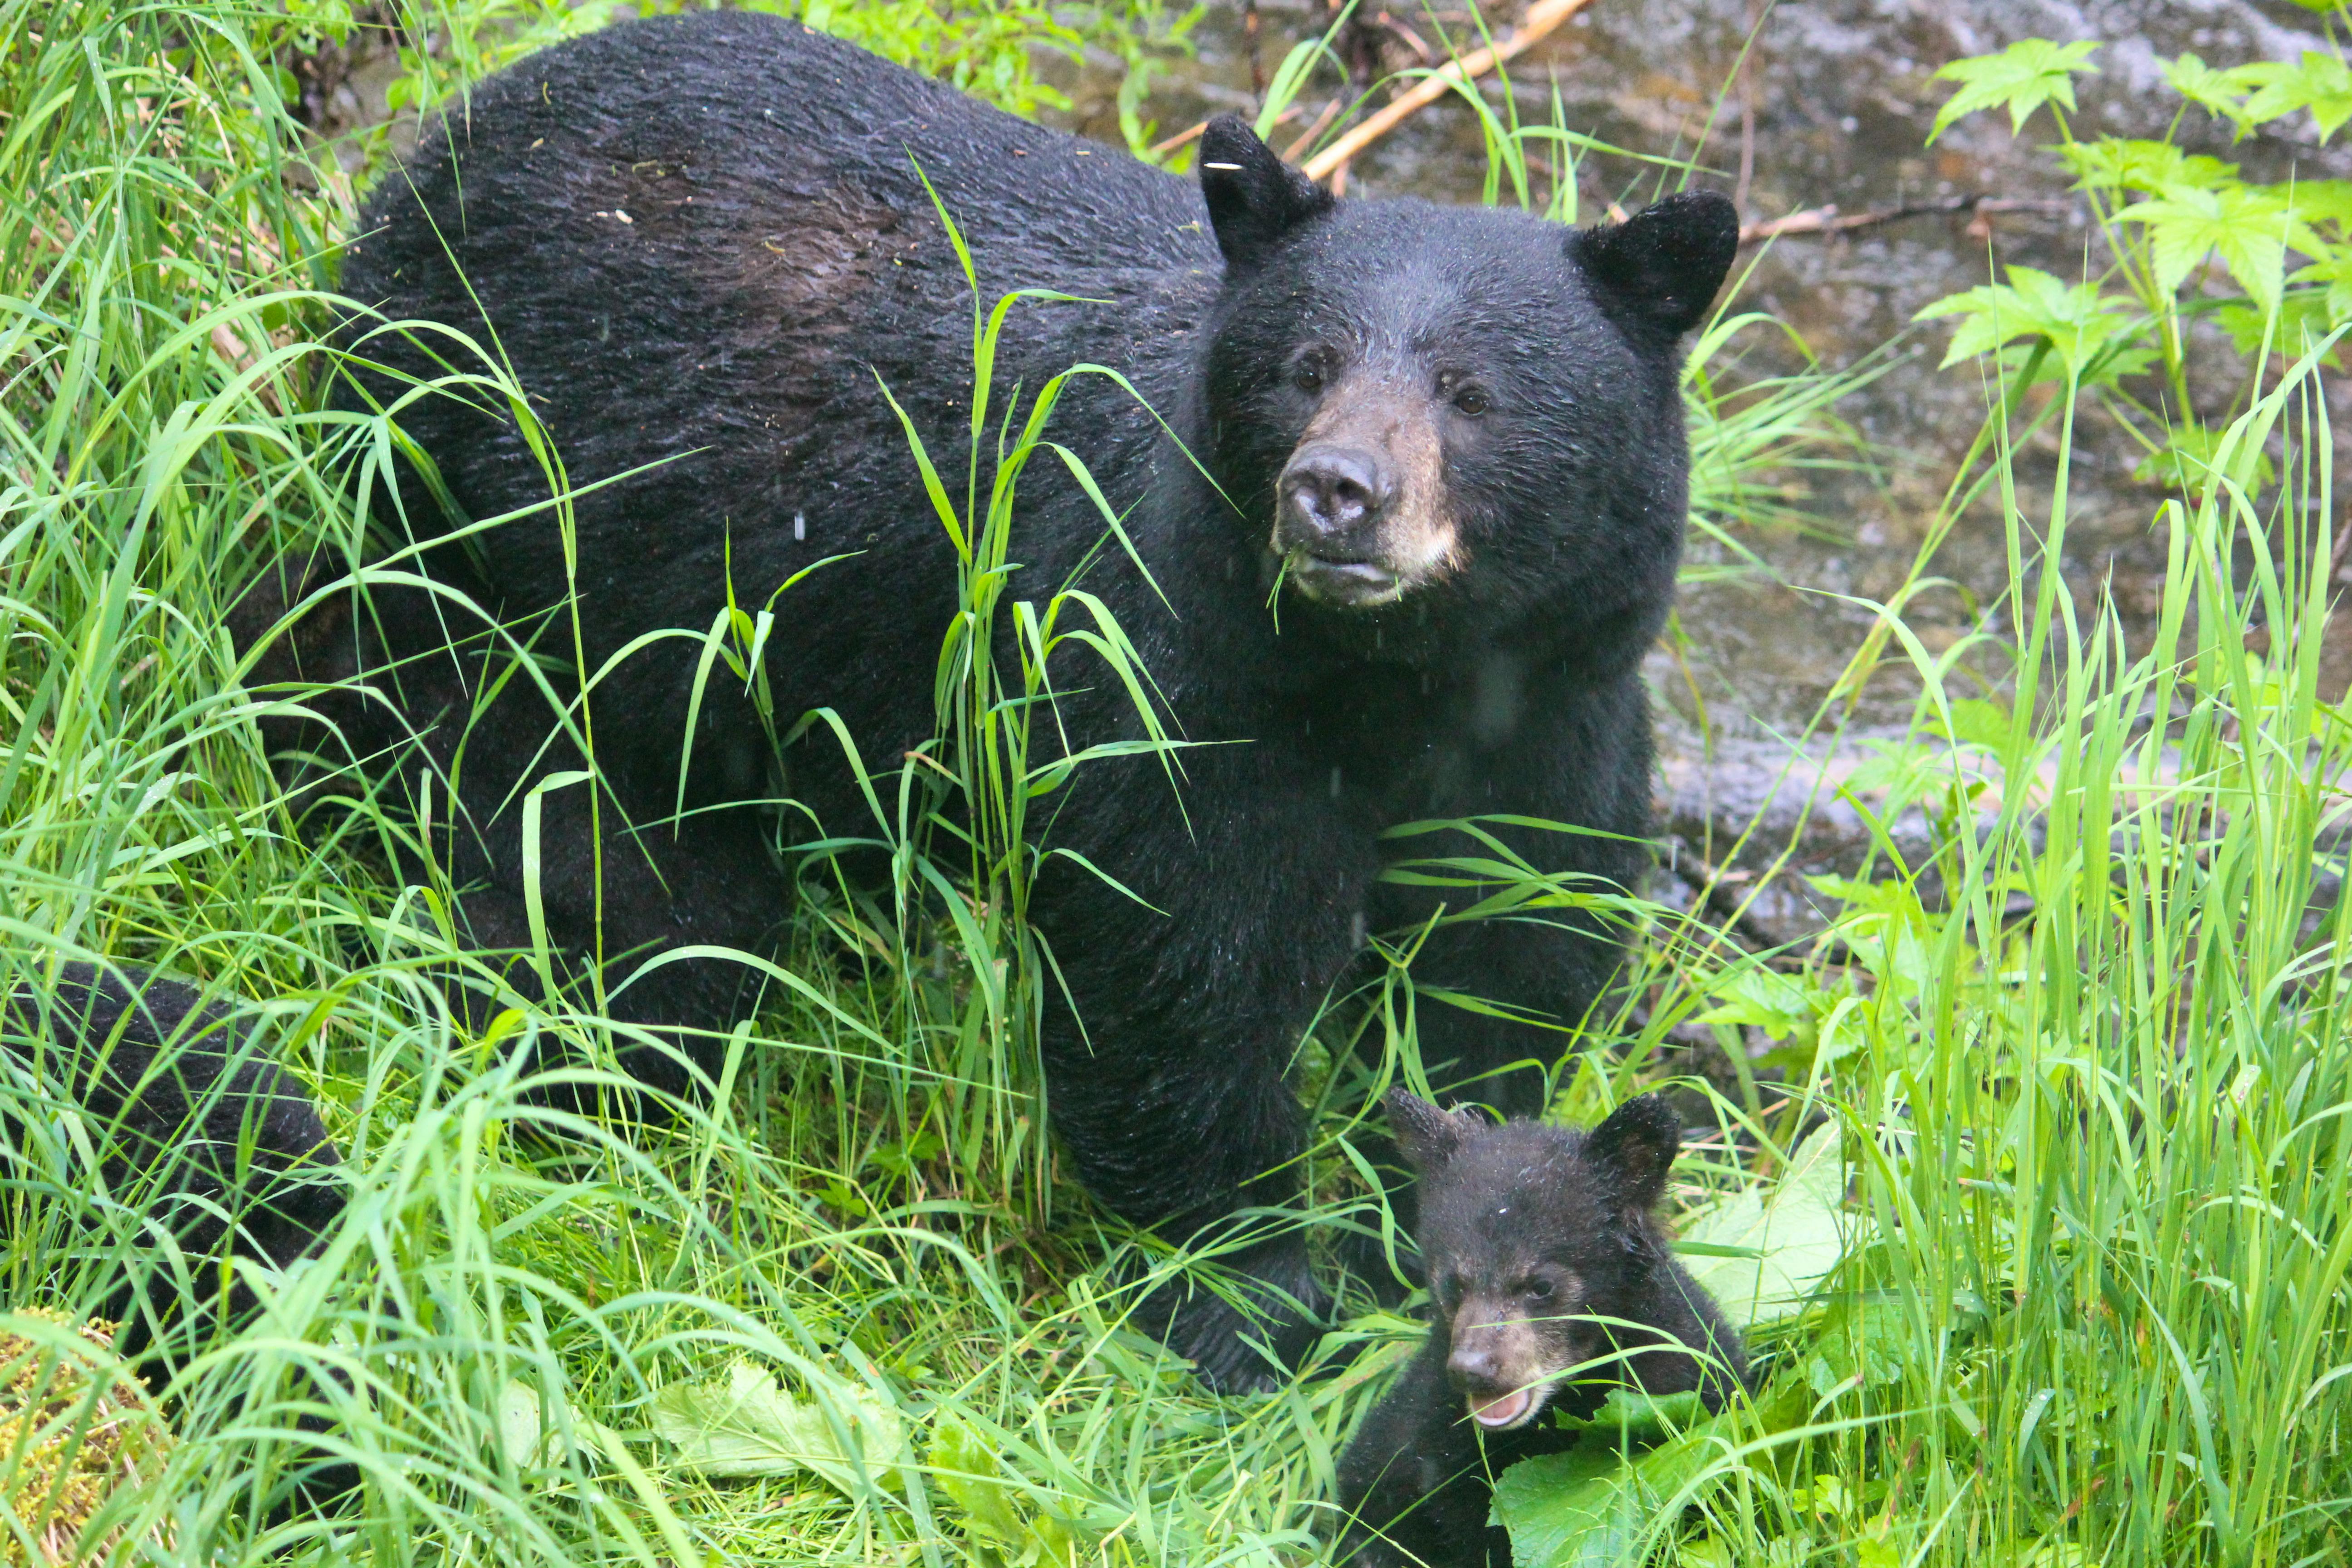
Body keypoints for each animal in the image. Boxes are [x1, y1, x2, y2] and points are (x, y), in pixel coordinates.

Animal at [278, 10, 1738, 1389]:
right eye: (1307, 366)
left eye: (1470, 392)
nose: (1335, 491)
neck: (1390, 683)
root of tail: (444, 140)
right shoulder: (1173, 677)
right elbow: (1184, 985)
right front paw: (1250, 1304)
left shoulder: (1552, 717)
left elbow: (1503, 967)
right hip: (493, 521)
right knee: (566, 839)